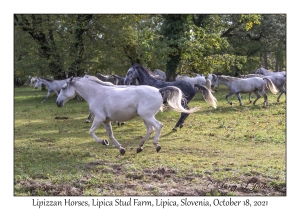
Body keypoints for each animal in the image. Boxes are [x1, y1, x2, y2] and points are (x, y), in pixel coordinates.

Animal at [56, 75, 200, 154]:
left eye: (63, 88)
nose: (58, 103)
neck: (96, 93)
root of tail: (159, 91)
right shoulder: (106, 120)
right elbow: (111, 135)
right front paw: (120, 149)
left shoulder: (99, 118)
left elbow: (91, 132)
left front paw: (103, 142)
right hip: (145, 117)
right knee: (150, 130)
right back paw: (139, 147)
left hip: (147, 116)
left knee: (158, 126)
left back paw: (157, 145)